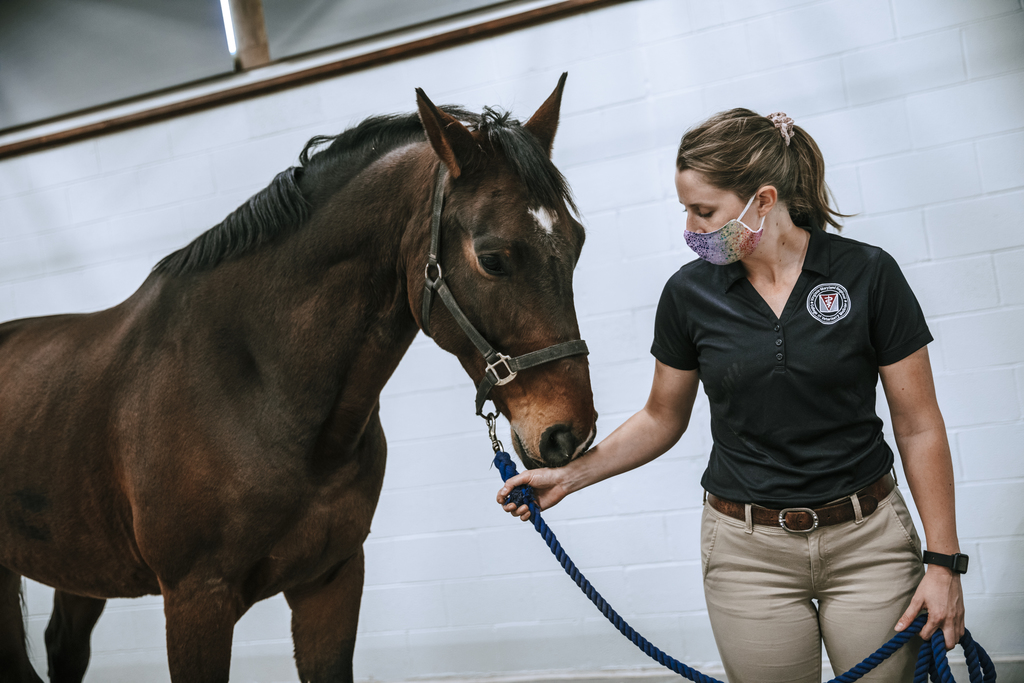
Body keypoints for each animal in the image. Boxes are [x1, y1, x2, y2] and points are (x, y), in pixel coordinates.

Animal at [0, 77, 593, 683]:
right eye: (492, 259)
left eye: (577, 242)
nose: (570, 433)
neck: (259, 389)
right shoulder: (196, 599)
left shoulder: (330, 579)